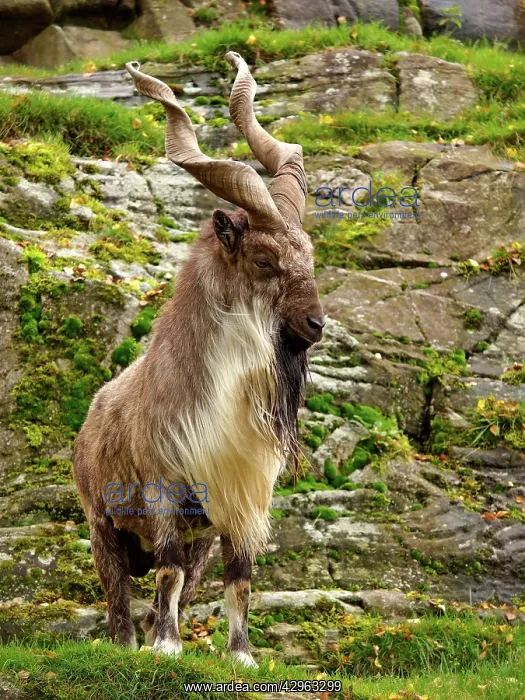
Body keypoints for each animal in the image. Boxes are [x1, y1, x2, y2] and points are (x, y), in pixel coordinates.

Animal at [73, 52, 324, 667]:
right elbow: (165, 573)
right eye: (264, 259)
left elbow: (239, 580)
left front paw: (241, 654)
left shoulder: (238, 506)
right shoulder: (164, 489)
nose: (316, 324)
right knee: (120, 599)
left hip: (198, 540)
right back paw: (131, 645)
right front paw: (165, 649)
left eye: (308, 255)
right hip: (103, 526)